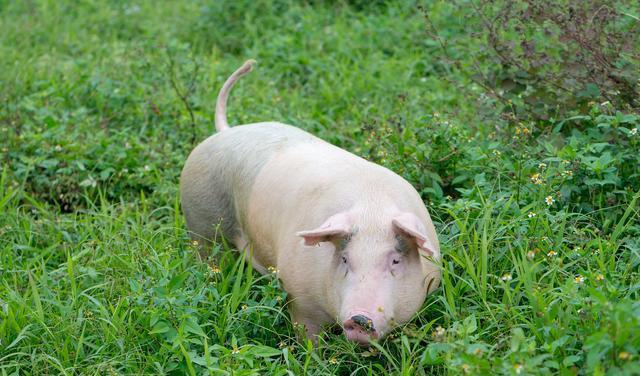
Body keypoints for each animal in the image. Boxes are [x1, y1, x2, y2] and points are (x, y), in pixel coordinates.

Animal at [179, 59, 440, 344]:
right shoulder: (299, 296)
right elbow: (308, 336)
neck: (372, 209)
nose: (360, 319)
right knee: (208, 258)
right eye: (345, 259)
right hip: (200, 220)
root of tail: (225, 131)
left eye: (395, 261)